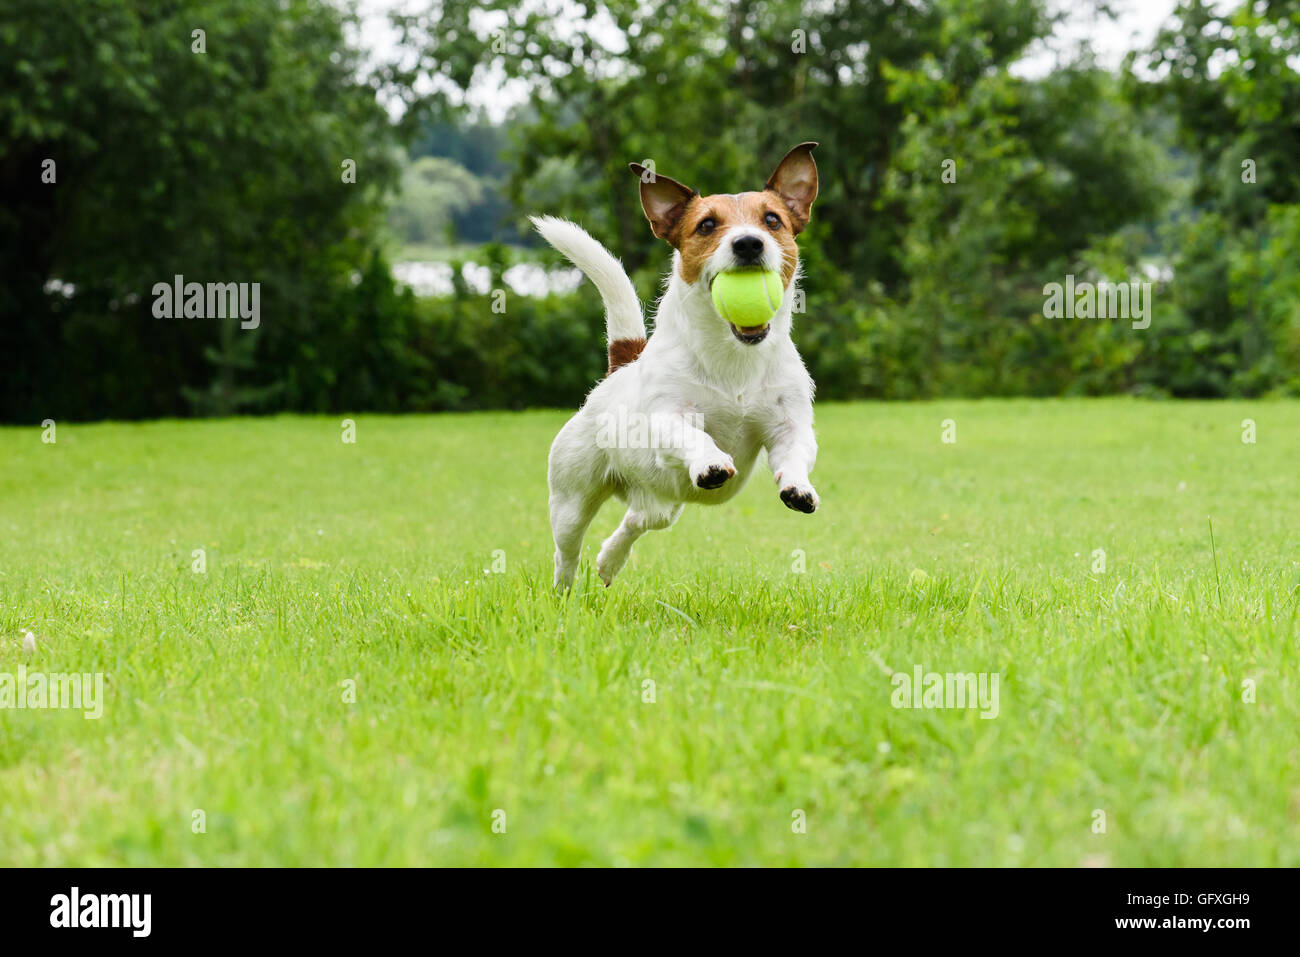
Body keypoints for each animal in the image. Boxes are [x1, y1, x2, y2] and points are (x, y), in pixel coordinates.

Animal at [530, 141, 816, 590]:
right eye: (706, 225)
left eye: (773, 220)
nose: (748, 243)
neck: (733, 355)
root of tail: (620, 368)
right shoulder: (668, 416)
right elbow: (694, 436)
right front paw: (712, 461)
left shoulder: (791, 423)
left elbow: (796, 453)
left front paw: (798, 488)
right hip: (571, 499)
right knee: (567, 552)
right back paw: (563, 591)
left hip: (663, 505)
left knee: (636, 521)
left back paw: (609, 561)